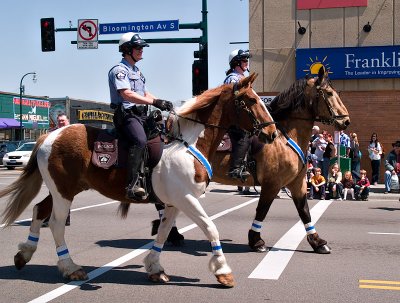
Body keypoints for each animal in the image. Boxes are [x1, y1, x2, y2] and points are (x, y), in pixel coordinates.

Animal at [0, 73, 276, 288]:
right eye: (251, 100)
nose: (272, 133)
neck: (187, 145)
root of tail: (49, 135)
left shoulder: (174, 202)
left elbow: (163, 232)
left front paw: (155, 268)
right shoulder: (187, 199)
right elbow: (211, 228)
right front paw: (223, 271)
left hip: (64, 189)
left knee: (39, 210)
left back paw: (24, 254)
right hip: (64, 192)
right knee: (56, 223)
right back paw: (70, 267)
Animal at [212, 68, 350, 254]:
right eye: (329, 93)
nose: (346, 121)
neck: (284, 138)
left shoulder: (297, 183)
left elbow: (304, 211)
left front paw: (317, 242)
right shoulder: (272, 184)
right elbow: (262, 211)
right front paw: (256, 241)